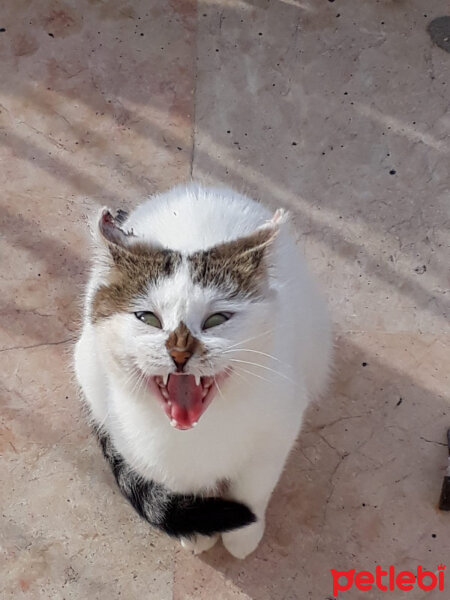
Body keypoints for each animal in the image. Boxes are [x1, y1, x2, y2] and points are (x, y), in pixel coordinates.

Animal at [74, 182, 332, 556]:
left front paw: (243, 535)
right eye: (147, 318)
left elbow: (254, 487)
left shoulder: (278, 431)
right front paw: (198, 533)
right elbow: (181, 484)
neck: (196, 436)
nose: (180, 352)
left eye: (216, 319)